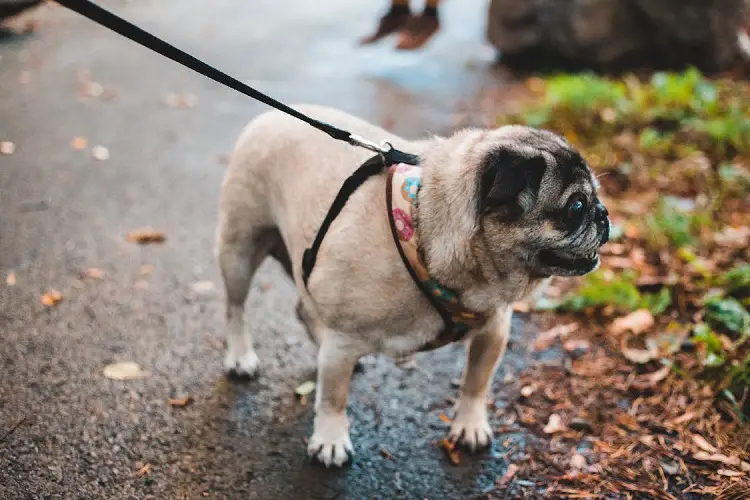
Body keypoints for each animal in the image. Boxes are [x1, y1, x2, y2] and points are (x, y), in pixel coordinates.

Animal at [216, 103, 612, 466]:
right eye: (576, 206)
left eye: (596, 196)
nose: (603, 214)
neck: (423, 232)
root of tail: (271, 115)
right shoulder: (343, 342)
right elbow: (332, 397)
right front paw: (330, 438)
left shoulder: (494, 328)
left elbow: (476, 382)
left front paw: (469, 424)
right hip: (239, 248)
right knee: (235, 307)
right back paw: (240, 358)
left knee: (303, 307)